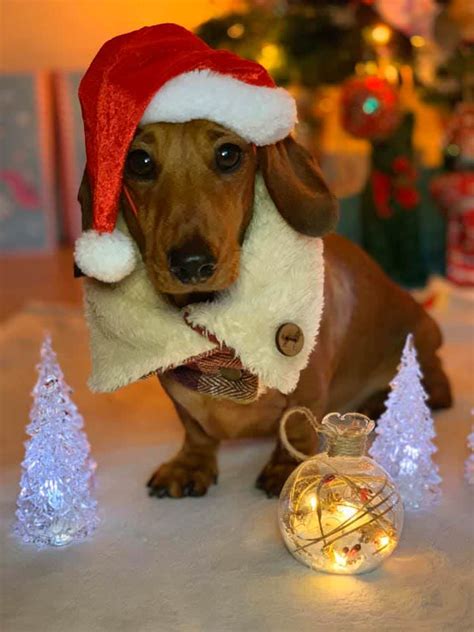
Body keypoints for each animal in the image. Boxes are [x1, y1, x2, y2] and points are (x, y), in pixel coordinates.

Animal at [78, 118, 452, 498]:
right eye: (138, 161)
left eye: (228, 154)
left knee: (431, 381)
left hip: (422, 336)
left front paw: (287, 469)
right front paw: (190, 464)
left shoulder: (306, 385)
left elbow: (298, 425)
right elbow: (195, 429)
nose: (191, 264)